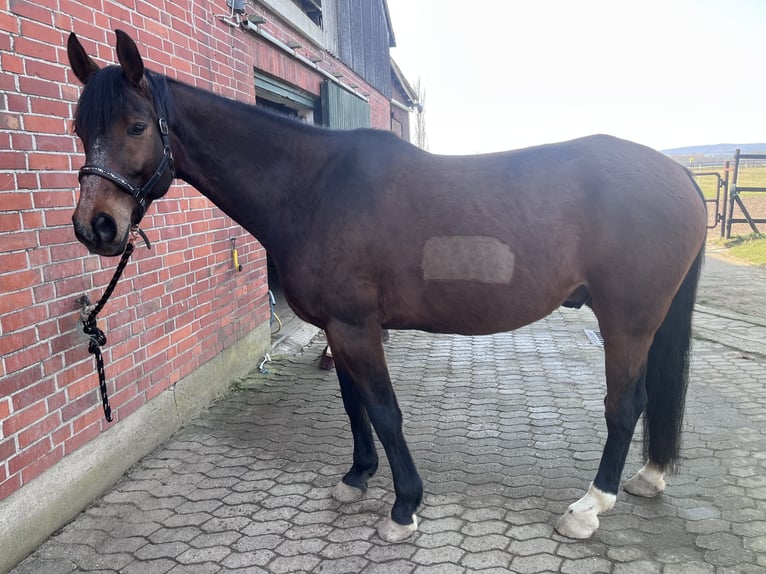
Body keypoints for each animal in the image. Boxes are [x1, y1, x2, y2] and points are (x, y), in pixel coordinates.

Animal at [66, 30, 707, 542]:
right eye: (78, 127)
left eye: (137, 125)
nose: (96, 227)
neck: (313, 186)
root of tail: (680, 174)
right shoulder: (337, 328)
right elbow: (354, 405)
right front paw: (357, 477)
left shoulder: (357, 327)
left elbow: (384, 410)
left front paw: (404, 508)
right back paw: (648, 477)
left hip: (626, 321)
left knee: (625, 405)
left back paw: (589, 507)